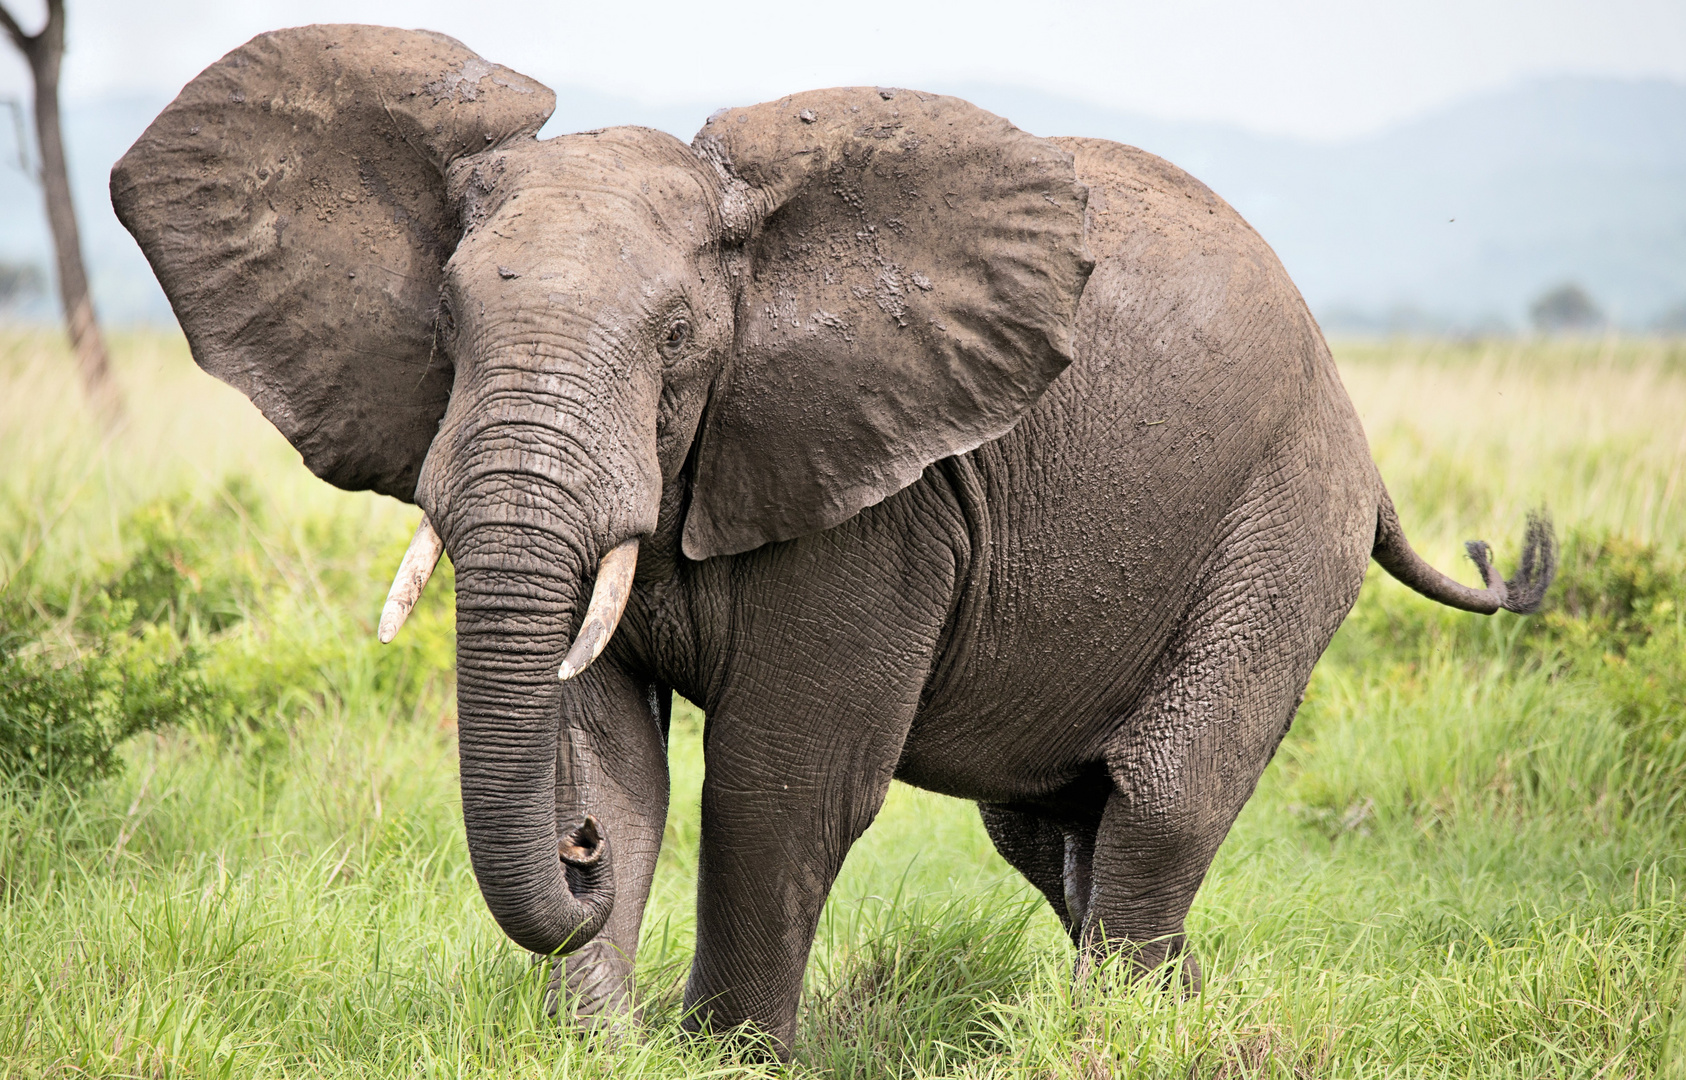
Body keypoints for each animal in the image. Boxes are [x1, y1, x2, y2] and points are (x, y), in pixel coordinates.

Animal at [108, 23, 1551, 1051]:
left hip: (1281, 522)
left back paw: (1121, 1035)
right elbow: (610, 754)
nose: (570, 863)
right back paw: (1192, 1017)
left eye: (677, 339)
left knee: (1160, 798)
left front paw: (725, 1054)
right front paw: (597, 1034)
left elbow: (781, 778)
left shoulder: (883, 495)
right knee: (1048, 830)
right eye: (450, 320)